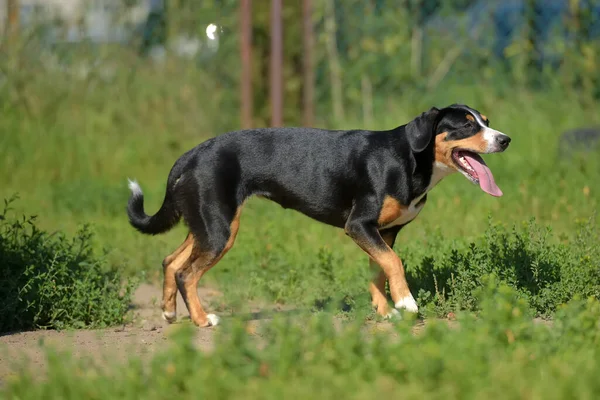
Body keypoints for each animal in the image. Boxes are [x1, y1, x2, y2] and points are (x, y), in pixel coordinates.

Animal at [126, 104, 510, 328]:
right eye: (466, 125)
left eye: (487, 123)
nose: (505, 139)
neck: (408, 158)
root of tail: (191, 154)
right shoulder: (359, 225)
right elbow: (394, 264)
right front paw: (406, 302)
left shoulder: (383, 232)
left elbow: (379, 270)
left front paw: (384, 310)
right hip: (220, 230)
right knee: (187, 273)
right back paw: (203, 319)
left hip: (205, 225)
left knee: (171, 262)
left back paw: (170, 313)